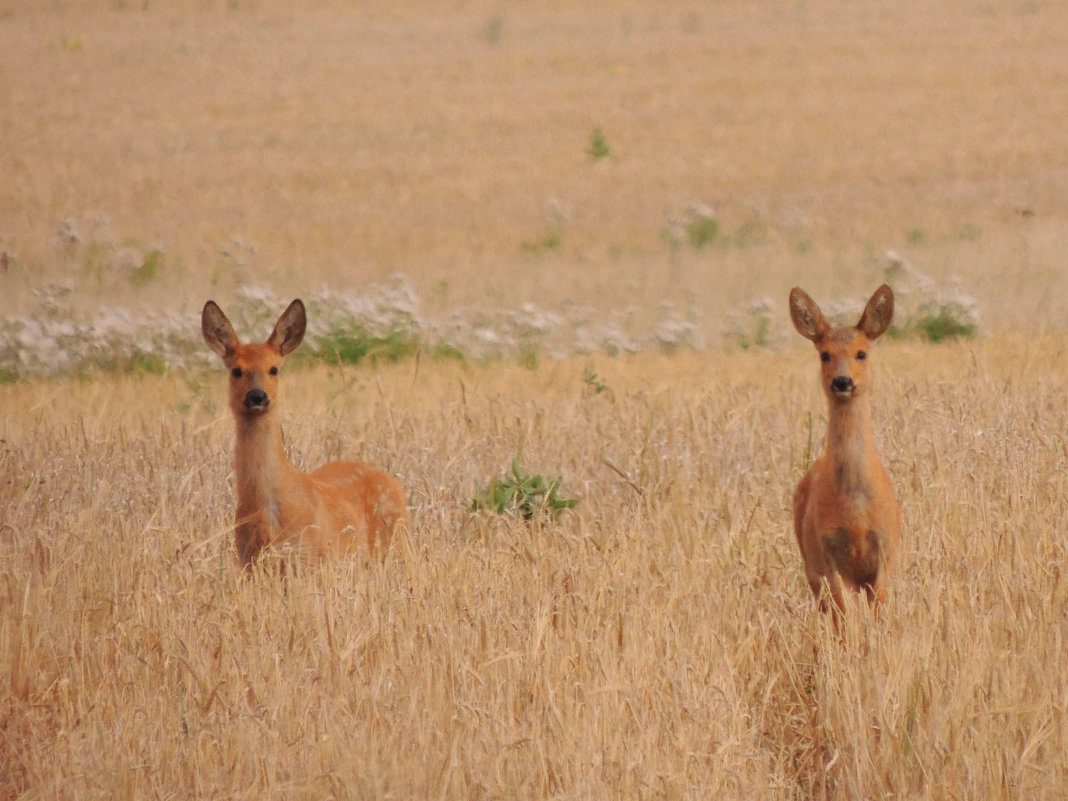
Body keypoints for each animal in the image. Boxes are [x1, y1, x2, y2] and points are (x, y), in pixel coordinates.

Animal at [201, 299, 410, 572]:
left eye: (274, 369)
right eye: (237, 370)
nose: (257, 396)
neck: (267, 510)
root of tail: (394, 483)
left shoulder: (310, 555)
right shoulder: (248, 560)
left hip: (395, 543)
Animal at [786, 286, 901, 619]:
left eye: (861, 353)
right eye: (825, 354)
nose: (842, 381)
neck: (855, 512)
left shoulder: (885, 550)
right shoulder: (826, 554)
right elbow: (844, 616)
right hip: (810, 564)